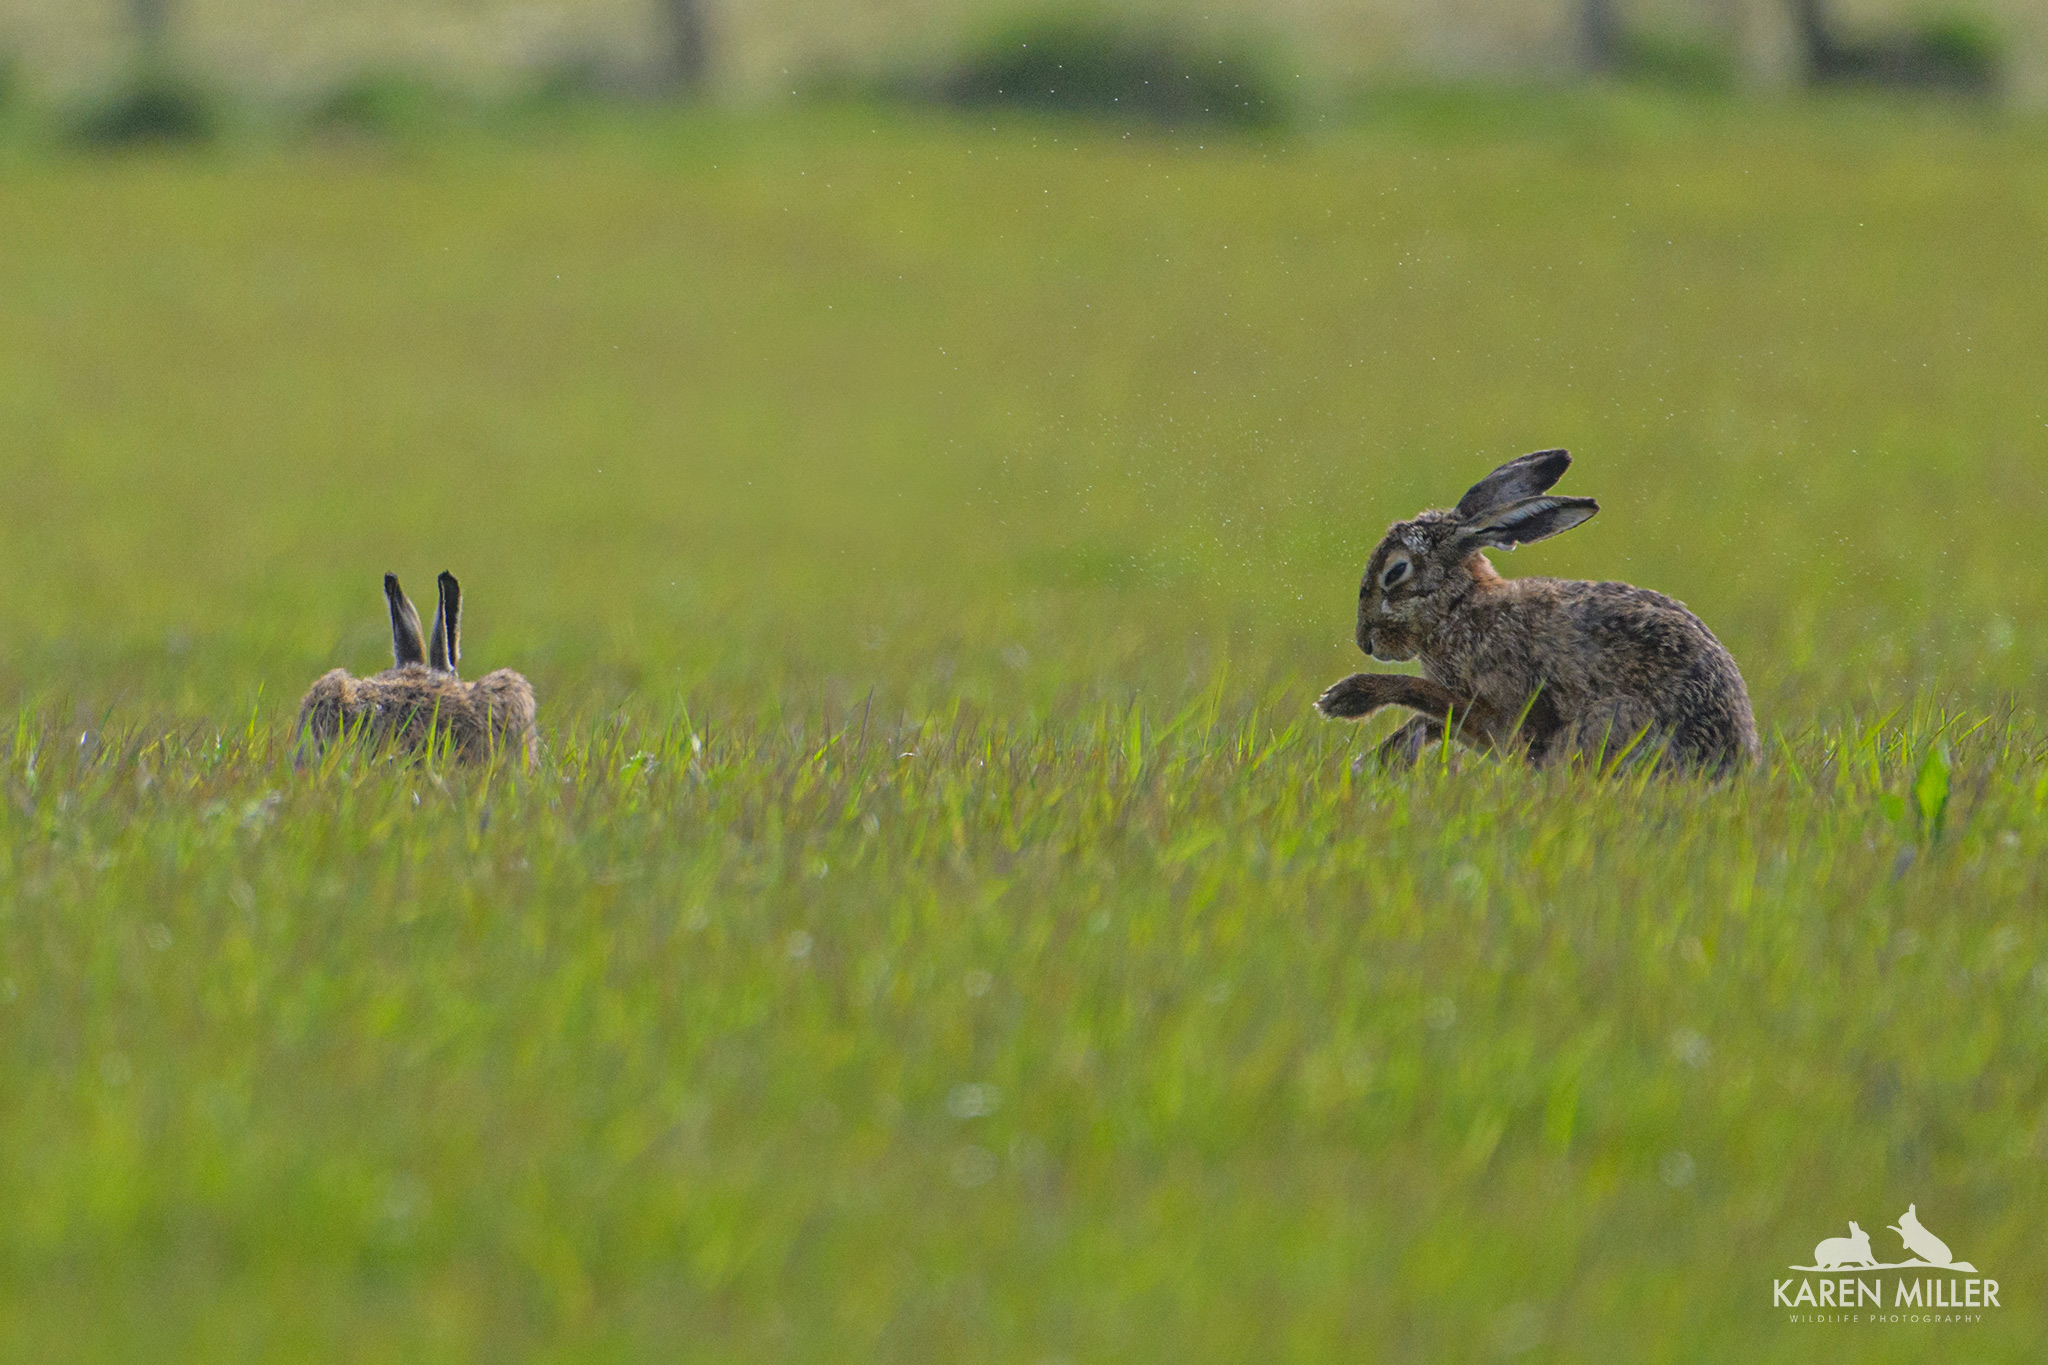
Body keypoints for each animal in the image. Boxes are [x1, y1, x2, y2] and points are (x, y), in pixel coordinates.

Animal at [1315, 449, 1759, 774]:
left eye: (1396, 572)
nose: (1365, 642)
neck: (1459, 609)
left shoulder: (1504, 712)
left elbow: (1431, 698)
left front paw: (1347, 699)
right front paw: (1376, 760)